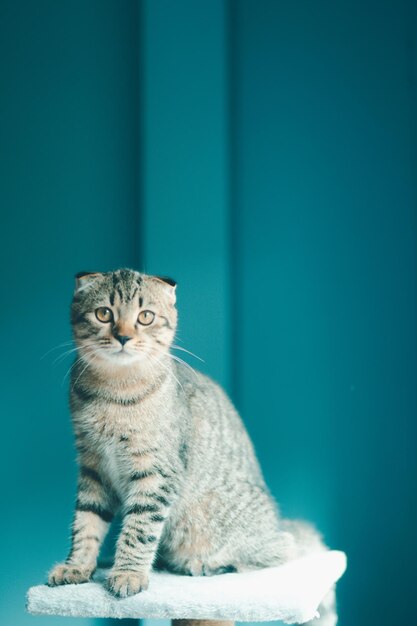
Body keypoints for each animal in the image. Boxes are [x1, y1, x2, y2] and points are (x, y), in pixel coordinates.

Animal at [47, 266, 324, 596]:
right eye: (104, 314)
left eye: (145, 316)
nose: (123, 336)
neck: (114, 390)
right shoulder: (93, 466)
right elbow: (86, 521)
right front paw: (77, 566)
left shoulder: (157, 473)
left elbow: (139, 528)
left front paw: (128, 573)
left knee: (279, 550)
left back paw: (201, 564)